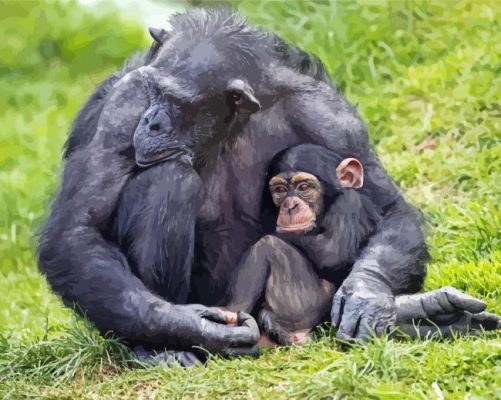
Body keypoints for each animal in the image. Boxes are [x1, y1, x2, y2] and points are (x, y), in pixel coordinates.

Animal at [39, 9, 430, 364]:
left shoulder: (331, 117)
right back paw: (163, 347)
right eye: (156, 92)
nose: (153, 123)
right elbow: (77, 230)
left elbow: (390, 211)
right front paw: (191, 326)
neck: (228, 125)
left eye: (178, 102)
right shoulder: (124, 103)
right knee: (171, 178)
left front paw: (366, 296)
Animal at [225, 145, 498, 346]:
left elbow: (332, 253)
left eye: (304, 187)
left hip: (302, 306)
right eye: (280, 190)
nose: (290, 205)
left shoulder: (349, 205)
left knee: (269, 248)